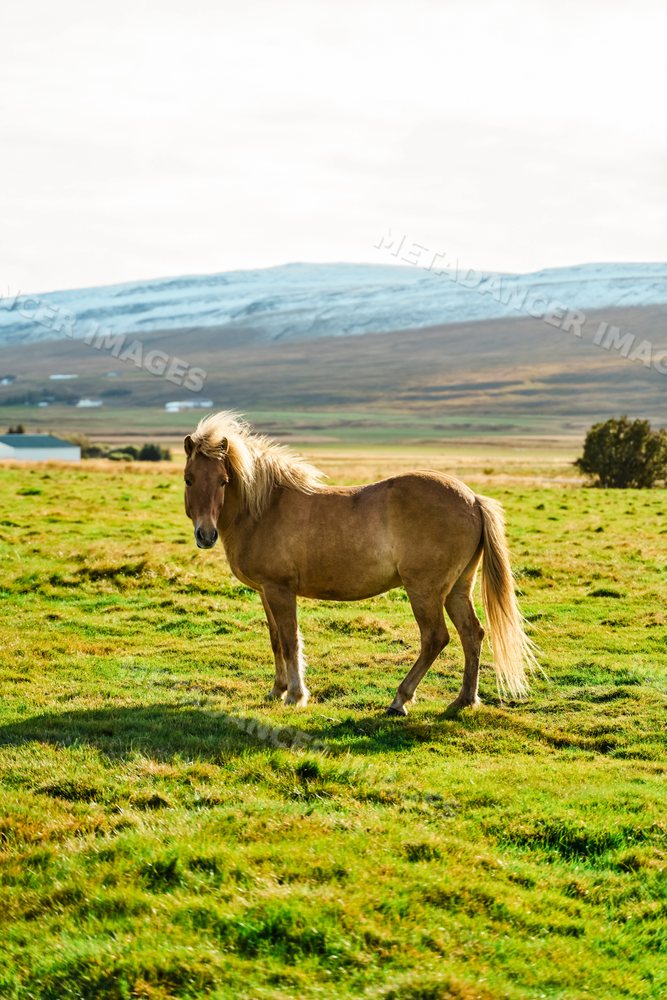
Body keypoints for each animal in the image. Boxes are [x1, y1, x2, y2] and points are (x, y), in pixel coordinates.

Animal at [183, 412, 537, 715]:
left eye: (223, 481)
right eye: (189, 479)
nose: (206, 535)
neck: (264, 509)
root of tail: (474, 500)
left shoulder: (279, 590)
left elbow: (289, 639)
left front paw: (295, 695)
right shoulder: (265, 592)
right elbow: (275, 640)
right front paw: (277, 689)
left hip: (424, 590)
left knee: (435, 638)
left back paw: (400, 699)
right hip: (457, 589)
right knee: (471, 634)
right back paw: (463, 700)